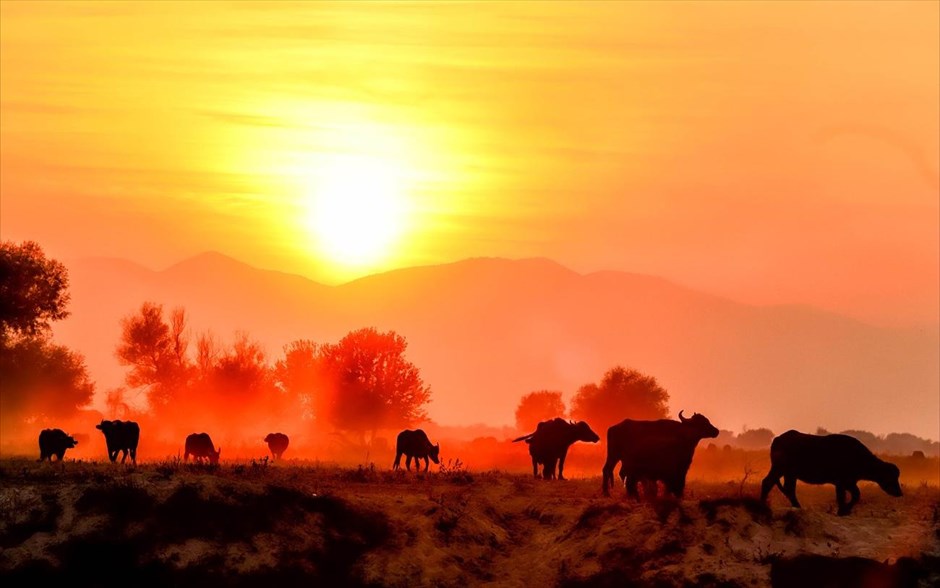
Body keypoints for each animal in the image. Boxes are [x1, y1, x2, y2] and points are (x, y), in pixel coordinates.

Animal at [756, 428, 904, 516]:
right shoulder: (843, 482)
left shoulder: (847, 483)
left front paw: (844, 510)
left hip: (788, 473)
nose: (899, 492)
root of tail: (777, 439)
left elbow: (851, 495)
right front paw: (843, 510)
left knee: (784, 488)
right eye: (891, 477)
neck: (858, 457)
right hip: (780, 469)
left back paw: (795, 506)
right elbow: (851, 495)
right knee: (771, 483)